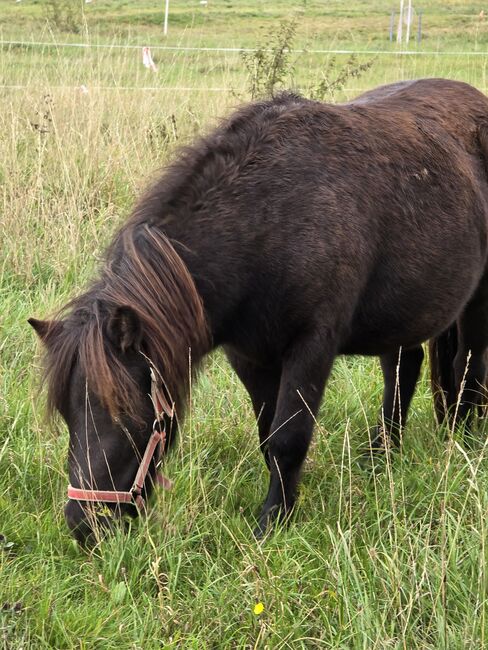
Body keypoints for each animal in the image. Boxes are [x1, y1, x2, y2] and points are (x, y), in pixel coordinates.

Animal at [29, 77, 488, 540]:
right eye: (67, 414)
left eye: (130, 416)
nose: (85, 525)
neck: (270, 220)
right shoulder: (248, 357)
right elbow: (269, 436)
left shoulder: (311, 348)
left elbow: (288, 438)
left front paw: (273, 522)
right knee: (402, 368)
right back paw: (382, 454)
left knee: (467, 363)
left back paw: (463, 440)